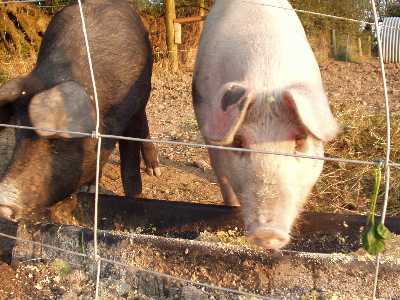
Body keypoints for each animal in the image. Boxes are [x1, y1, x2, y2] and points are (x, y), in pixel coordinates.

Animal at [0, 0, 161, 220]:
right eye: (18, 133)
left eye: (57, 142)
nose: (3, 204)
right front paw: (88, 190)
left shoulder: (132, 109)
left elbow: (129, 166)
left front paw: (135, 198)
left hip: (144, 90)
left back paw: (155, 171)